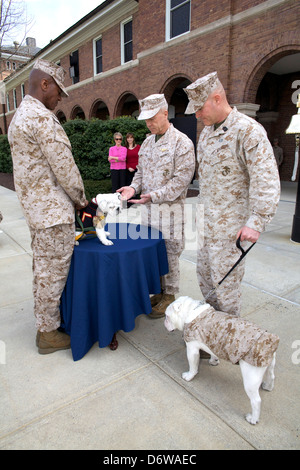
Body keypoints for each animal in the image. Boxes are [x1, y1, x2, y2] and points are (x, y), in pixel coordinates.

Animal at [164, 296, 278, 424]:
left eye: (167, 316)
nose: (164, 322)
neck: (190, 310)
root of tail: (272, 341)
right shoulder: (212, 343)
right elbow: (212, 352)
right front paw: (214, 360)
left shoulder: (192, 349)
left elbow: (193, 366)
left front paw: (189, 376)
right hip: (269, 364)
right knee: (271, 376)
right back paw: (268, 387)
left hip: (251, 378)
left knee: (256, 400)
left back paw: (253, 419)